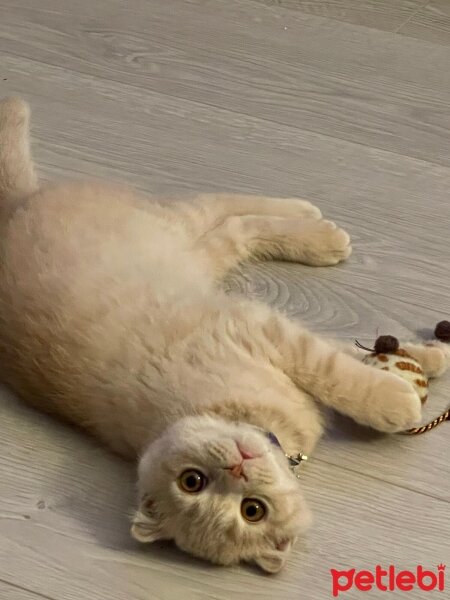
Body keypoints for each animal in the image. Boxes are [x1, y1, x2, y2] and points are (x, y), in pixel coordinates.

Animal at [1, 96, 448, 576]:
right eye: (249, 509)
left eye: (192, 481)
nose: (238, 467)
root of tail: (16, 207)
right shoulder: (264, 331)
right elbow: (342, 364)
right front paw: (403, 388)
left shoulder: (263, 329)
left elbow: (337, 366)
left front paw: (420, 362)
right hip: (195, 251)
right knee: (235, 227)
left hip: (174, 230)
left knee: (224, 206)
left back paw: (311, 221)